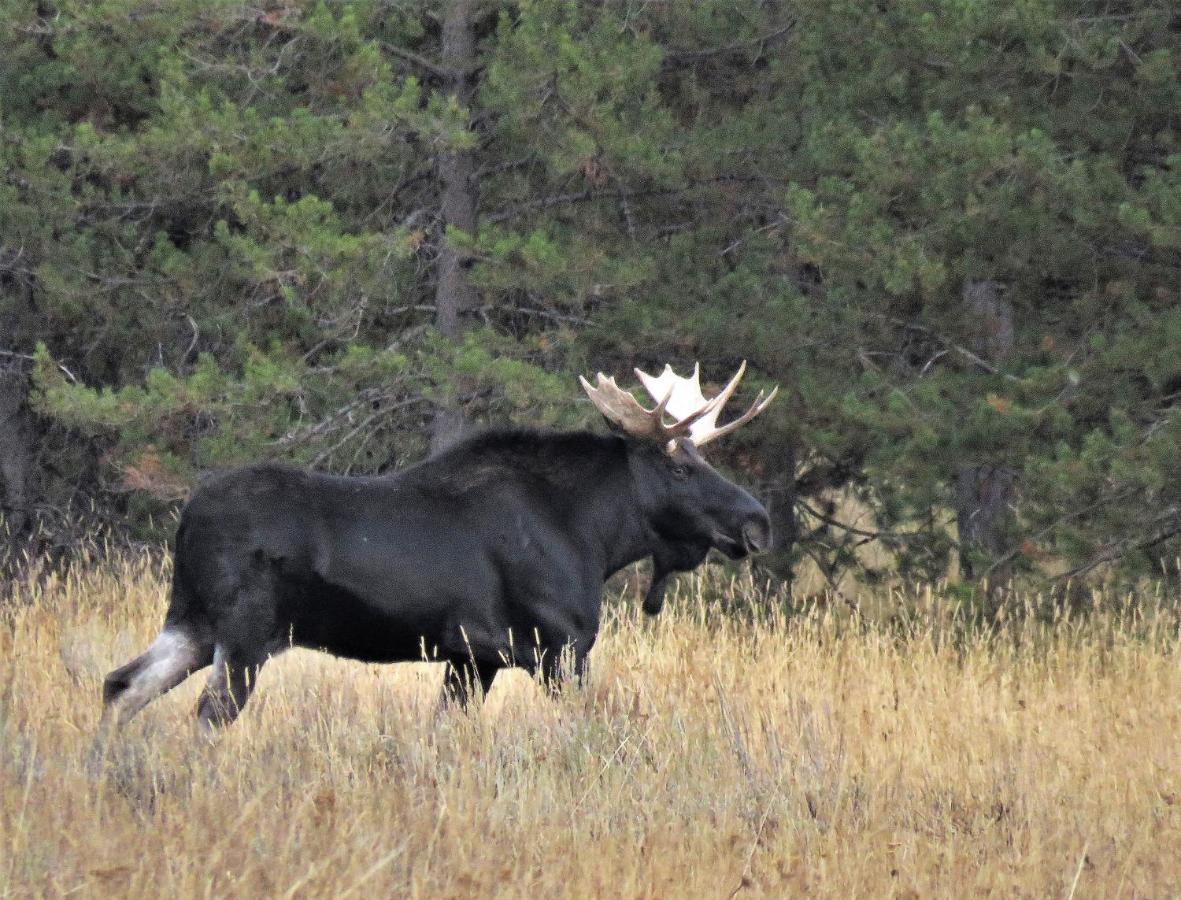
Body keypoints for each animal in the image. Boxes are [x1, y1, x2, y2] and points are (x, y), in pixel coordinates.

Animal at [101, 359, 779, 727]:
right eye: (679, 466)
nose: (758, 523)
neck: (594, 537)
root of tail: (187, 518)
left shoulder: (471, 659)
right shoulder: (558, 648)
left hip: (193, 622)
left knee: (120, 685)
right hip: (244, 634)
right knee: (206, 713)